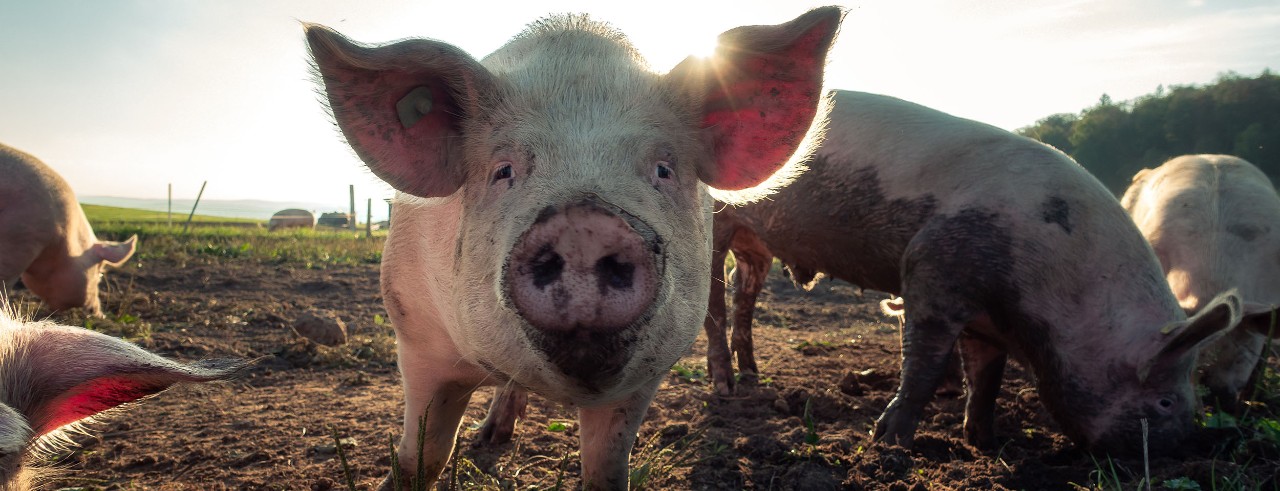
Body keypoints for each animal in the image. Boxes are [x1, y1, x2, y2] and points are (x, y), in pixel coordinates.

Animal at [305, 7, 844, 489]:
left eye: (663, 169)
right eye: (503, 170)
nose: (585, 224)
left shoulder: (647, 373)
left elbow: (605, 470)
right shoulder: (416, 337)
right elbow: (422, 458)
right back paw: (489, 439)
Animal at [704, 90, 1242, 454]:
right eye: (1165, 402)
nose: (1185, 450)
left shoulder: (989, 321)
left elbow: (987, 377)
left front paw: (986, 442)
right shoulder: (931, 270)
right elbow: (922, 364)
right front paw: (888, 443)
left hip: (757, 245)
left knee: (742, 293)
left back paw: (753, 377)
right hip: (715, 221)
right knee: (712, 301)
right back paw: (725, 387)